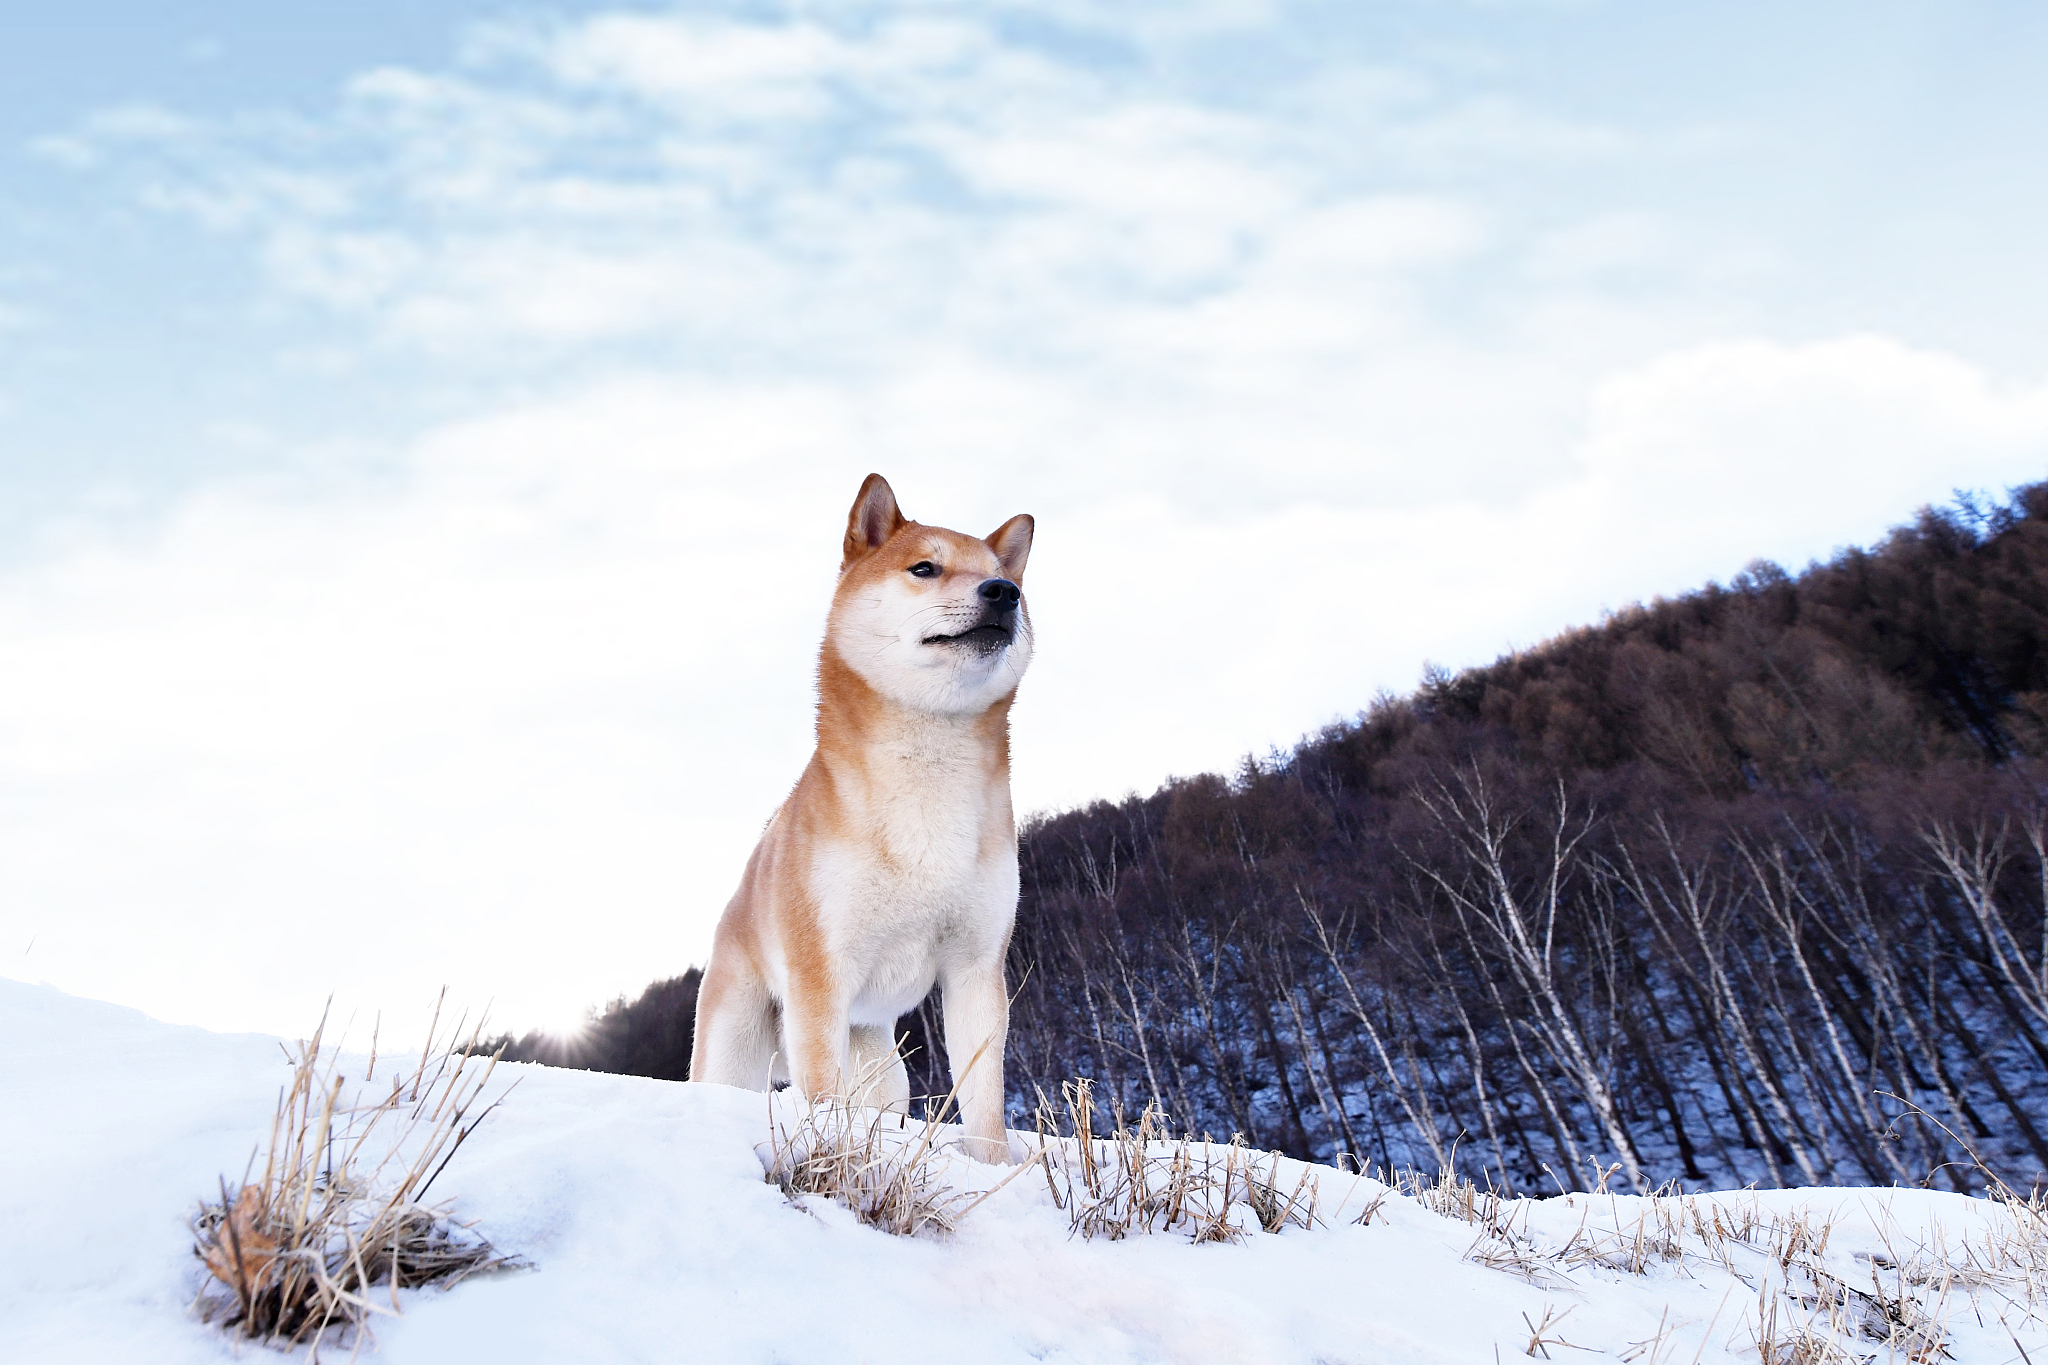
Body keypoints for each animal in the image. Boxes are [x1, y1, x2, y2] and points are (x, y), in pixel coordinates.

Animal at [692, 472, 1040, 1162]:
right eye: (924, 567)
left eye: (998, 574)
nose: (1004, 592)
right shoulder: (820, 972)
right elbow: (820, 1094)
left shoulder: (975, 968)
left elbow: (984, 1099)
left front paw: (992, 1166)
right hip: (738, 1044)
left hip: (882, 1066)